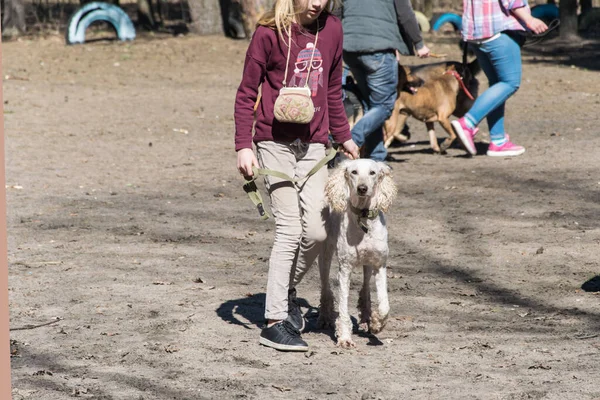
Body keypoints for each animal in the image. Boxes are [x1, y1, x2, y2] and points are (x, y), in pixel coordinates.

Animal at [318, 159, 398, 346]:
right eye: (354, 172)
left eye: (372, 173)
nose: (362, 188)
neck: (363, 217)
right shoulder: (345, 269)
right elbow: (343, 307)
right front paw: (345, 337)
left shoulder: (380, 265)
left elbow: (385, 305)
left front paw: (377, 323)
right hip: (325, 254)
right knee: (325, 286)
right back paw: (325, 317)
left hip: (368, 263)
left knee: (365, 286)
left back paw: (367, 316)